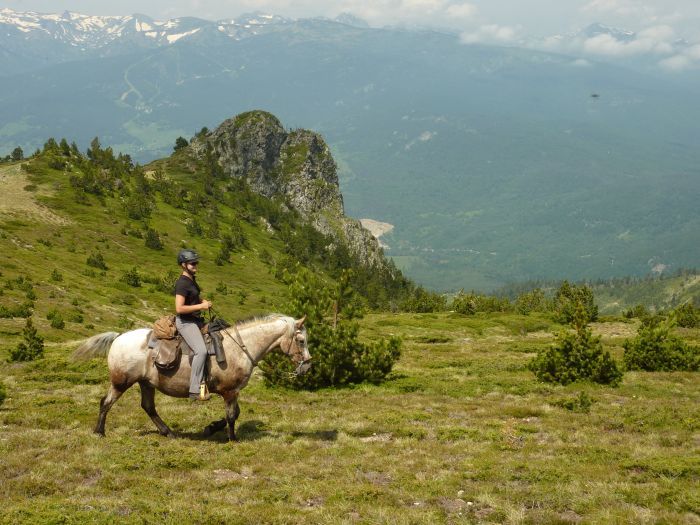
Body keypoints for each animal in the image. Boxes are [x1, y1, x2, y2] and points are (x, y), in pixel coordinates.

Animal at [73, 314, 308, 440]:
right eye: (302, 340)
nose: (307, 366)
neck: (241, 347)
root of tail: (119, 337)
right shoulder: (230, 391)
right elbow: (232, 416)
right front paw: (232, 439)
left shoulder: (231, 392)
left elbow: (234, 414)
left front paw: (211, 428)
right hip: (121, 382)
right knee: (106, 402)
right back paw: (99, 431)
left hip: (146, 383)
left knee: (148, 407)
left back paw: (168, 432)